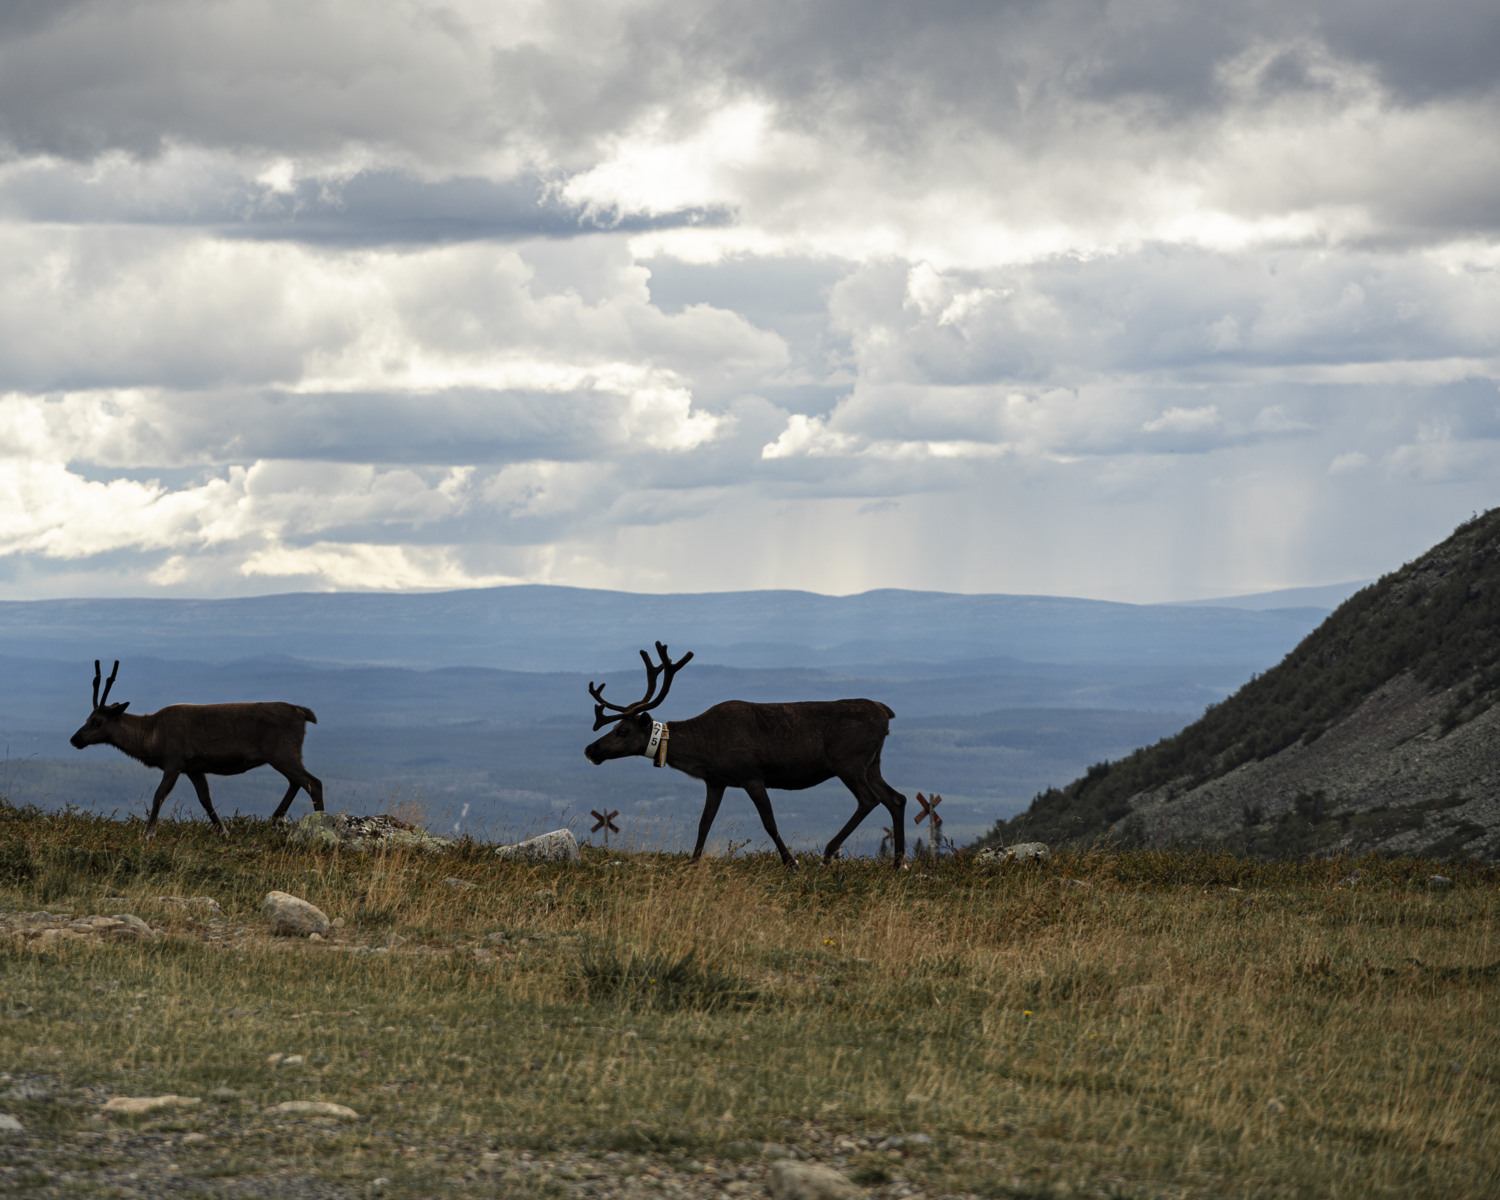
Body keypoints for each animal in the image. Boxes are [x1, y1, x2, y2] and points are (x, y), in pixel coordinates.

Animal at [69, 660, 324, 839]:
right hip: (285, 755)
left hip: (282, 753)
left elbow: (158, 796)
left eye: (97, 721)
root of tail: (302, 713)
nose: (74, 739)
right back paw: (276, 819)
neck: (150, 737)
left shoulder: (173, 762)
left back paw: (320, 825)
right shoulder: (194, 768)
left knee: (313, 782)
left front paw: (148, 833)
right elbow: (205, 799)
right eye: (87, 717)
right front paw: (223, 831)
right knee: (296, 781)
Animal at [583, 642, 907, 868]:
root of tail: (886, 713)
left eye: (623, 731)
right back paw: (897, 862)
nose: (590, 750)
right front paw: (692, 862)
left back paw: (828, 853)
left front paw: (791, 863)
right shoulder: (716, 781)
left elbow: (769, 823)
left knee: (869, 799)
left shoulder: (752, 776)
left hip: (849, 763)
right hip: (872, 763)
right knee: (896, 798)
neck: (701, 746)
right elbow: (704, 823)